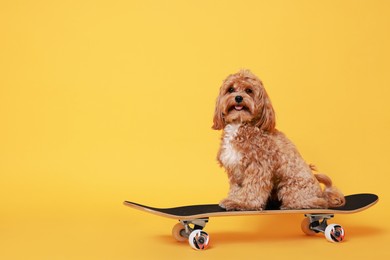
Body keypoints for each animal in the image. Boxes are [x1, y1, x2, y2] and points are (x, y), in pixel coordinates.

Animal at [213, 69, 344, 211]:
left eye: (249, 90)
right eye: (231, 89)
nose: (238, 98)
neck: (240, 124)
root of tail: (322, 194)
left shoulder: (259, 166)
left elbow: (253, 188)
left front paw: (243, 204)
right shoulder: (235, 169)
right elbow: (236, 188)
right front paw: (233, 199)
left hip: (291, 186)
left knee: (314, 202)